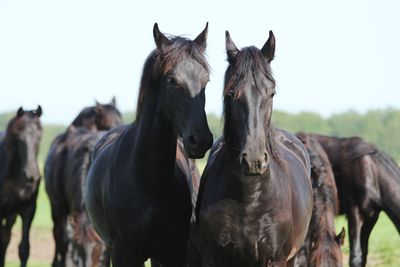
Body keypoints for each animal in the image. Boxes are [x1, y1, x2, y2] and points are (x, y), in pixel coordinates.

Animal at [0, 106, 42, 267]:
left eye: (39, 137)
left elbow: (24, 249)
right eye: (19, 137)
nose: (31, 174)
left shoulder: (28, 210)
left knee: (5, 238)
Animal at [195, 30, 314, 266]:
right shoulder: (213, 257)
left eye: (272, 93)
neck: (249, 197)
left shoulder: (275, 259)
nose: (254, 160)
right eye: (231, 94)